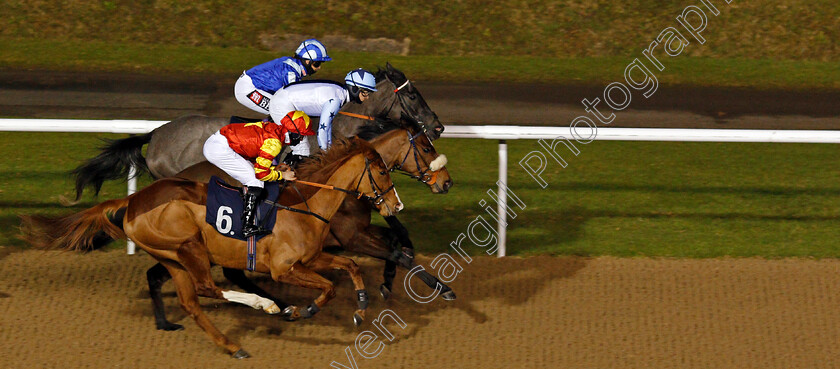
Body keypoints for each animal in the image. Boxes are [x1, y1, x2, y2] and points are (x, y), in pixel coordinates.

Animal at [23, 137, 404, 356]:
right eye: (383, 171)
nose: (396, 205)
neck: (305, 203)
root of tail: (131, 202)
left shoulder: (313, 258)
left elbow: (351, 267)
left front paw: (361, 306)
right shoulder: (284, 268)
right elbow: (327, 288)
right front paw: (301, 309)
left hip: (172, 257)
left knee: (191, 302)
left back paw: (232, 345)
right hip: (189, 247)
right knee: (207, 287)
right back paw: (265, 305)